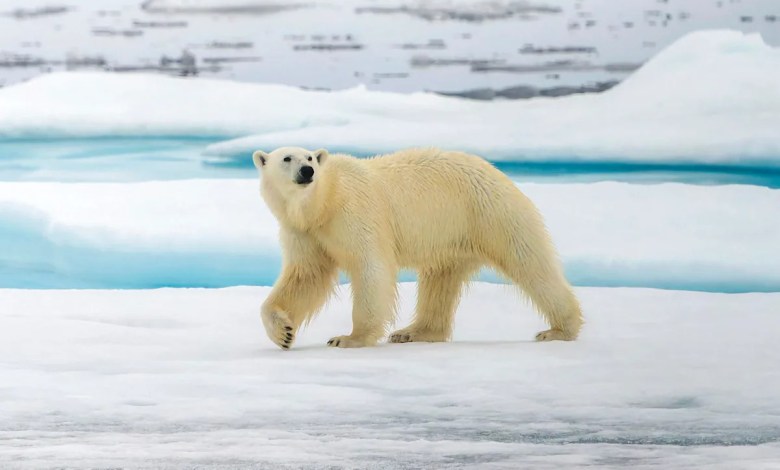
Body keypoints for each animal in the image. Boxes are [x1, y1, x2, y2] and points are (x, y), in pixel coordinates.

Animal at [252, 146, 583, 349]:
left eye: (309, 157)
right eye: (287, 158)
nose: (307, 171)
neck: (324, 202)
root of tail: (497, 172)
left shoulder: (355, 213)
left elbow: (371, 268)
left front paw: (349, 338)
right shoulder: (305, 232)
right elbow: (306, 276)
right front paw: (283, 333)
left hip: (489, 212)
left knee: (529, 263)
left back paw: (559, 329)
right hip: (452, 235)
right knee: (440, 280)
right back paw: (413, 331)